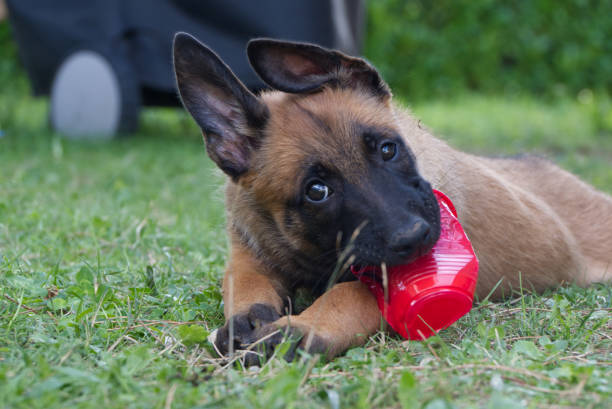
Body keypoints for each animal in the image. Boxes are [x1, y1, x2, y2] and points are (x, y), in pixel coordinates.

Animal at [172, 31, 612, 364]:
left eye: (388, 150)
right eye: (317, 192)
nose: (413, 236)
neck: (313, 253)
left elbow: (347, 296)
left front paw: (300, 328)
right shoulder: (248, 251)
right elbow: (244, 281)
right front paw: (248, 318)